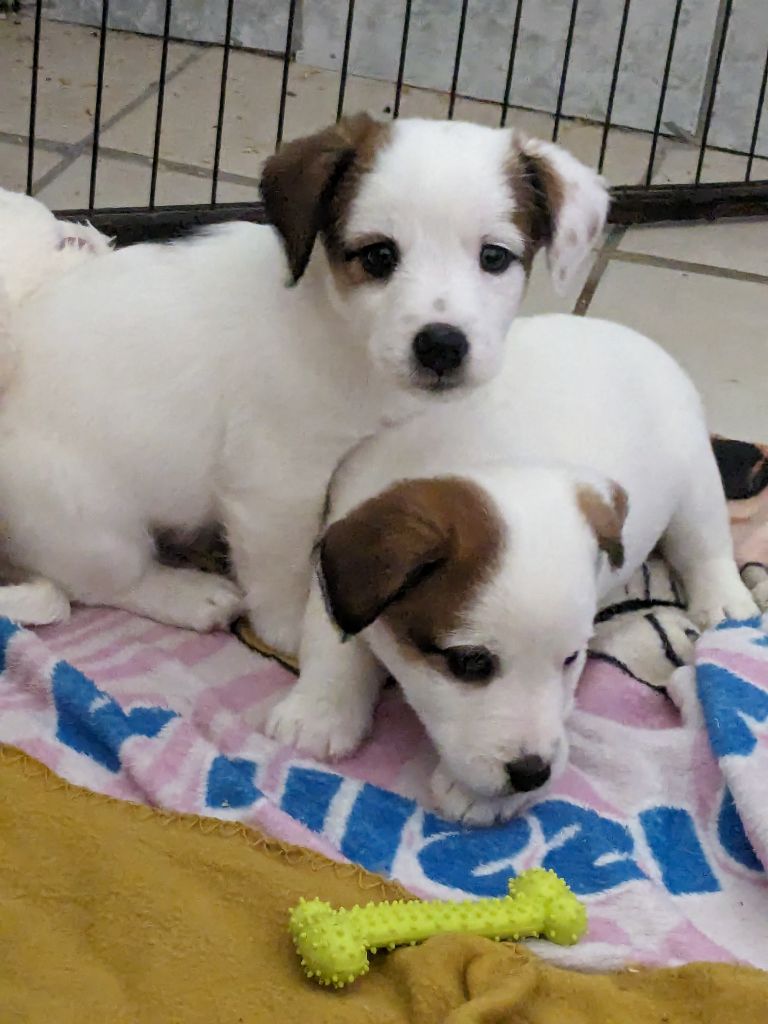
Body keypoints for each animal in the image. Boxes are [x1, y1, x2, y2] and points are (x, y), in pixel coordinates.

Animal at [0, 116, 606, 651]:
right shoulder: (275, 483)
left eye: (494, 257)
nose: (441, 345)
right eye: (379, 255)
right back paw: (188, 593)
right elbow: (282, 567)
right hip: (90, 521)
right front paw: (293, 630)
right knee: (100, 584)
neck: (339, 327)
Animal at [268, 311, 757, 823]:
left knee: (707, 547)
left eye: (571, 658)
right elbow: (333, 637)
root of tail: (631, 336)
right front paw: (321, 710)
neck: (479, 457)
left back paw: (725, 601)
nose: (531, 774)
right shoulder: (342, 539)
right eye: (470, 663)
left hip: (695, 485)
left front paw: (482, 798)